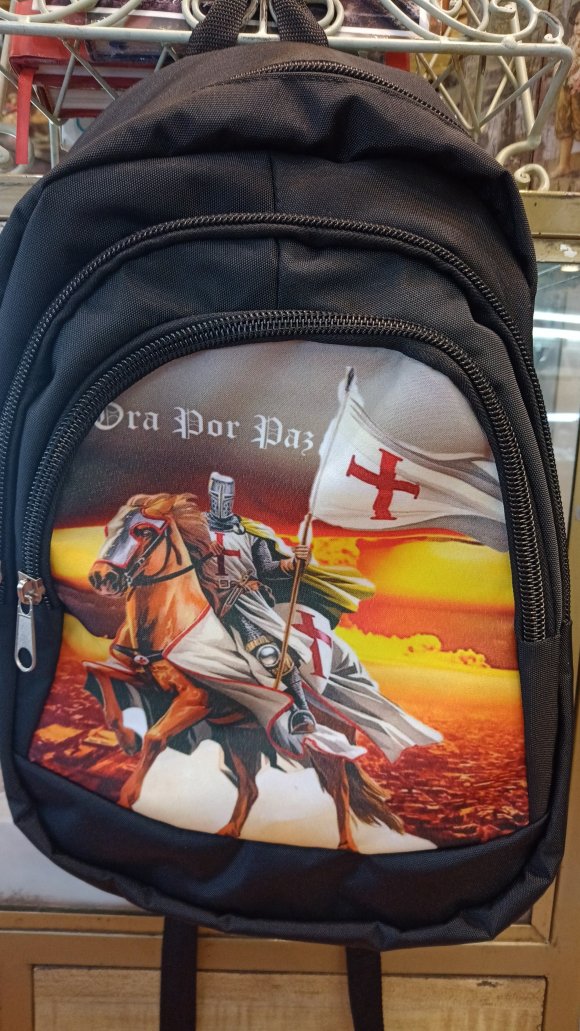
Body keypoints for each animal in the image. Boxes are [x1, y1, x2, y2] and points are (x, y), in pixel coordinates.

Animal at [85, 492, 403, 849]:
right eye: (109, 528)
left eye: (143, 531)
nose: (102, 578)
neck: (171, 623)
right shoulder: (141, 677)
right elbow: (98, 673)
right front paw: (126, 739)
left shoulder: (197, 700)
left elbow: (155, 737)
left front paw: (129, 792)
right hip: (239, 736)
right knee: (250, 788)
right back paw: (227, 831)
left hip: (327, 744)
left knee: (340, 789)